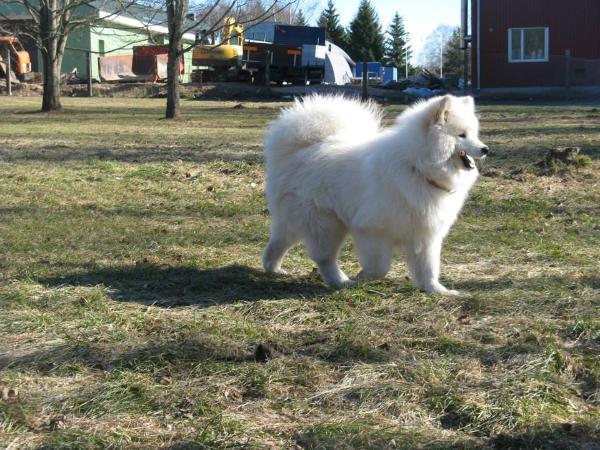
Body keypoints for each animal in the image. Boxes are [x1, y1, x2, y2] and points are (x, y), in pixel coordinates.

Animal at [262, 94, 488, 296]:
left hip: (305, 221)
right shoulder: (372, 230)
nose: (485, 149)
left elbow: (429, 268)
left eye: (474, 134)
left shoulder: (427, 234)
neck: (416, 167)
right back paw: (341, 281)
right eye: (461, 135)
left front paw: (436, 290)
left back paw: (273, 268)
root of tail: (298, 150)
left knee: (279, 241)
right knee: (325, 258)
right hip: (326, 224)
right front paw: (363, 276)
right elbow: (380, 268)